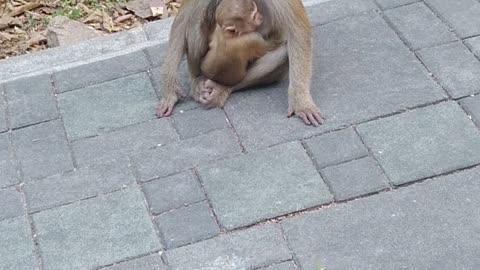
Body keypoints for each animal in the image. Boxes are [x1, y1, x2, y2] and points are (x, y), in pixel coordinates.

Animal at [156, 0, 324, 126]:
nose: (259, 18)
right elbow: (185, 14)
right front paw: (170, 90)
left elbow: (297, 29)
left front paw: (301, 103)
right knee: (196, 14)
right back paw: (197, 81)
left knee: (283, 52)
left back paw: (223, 88)